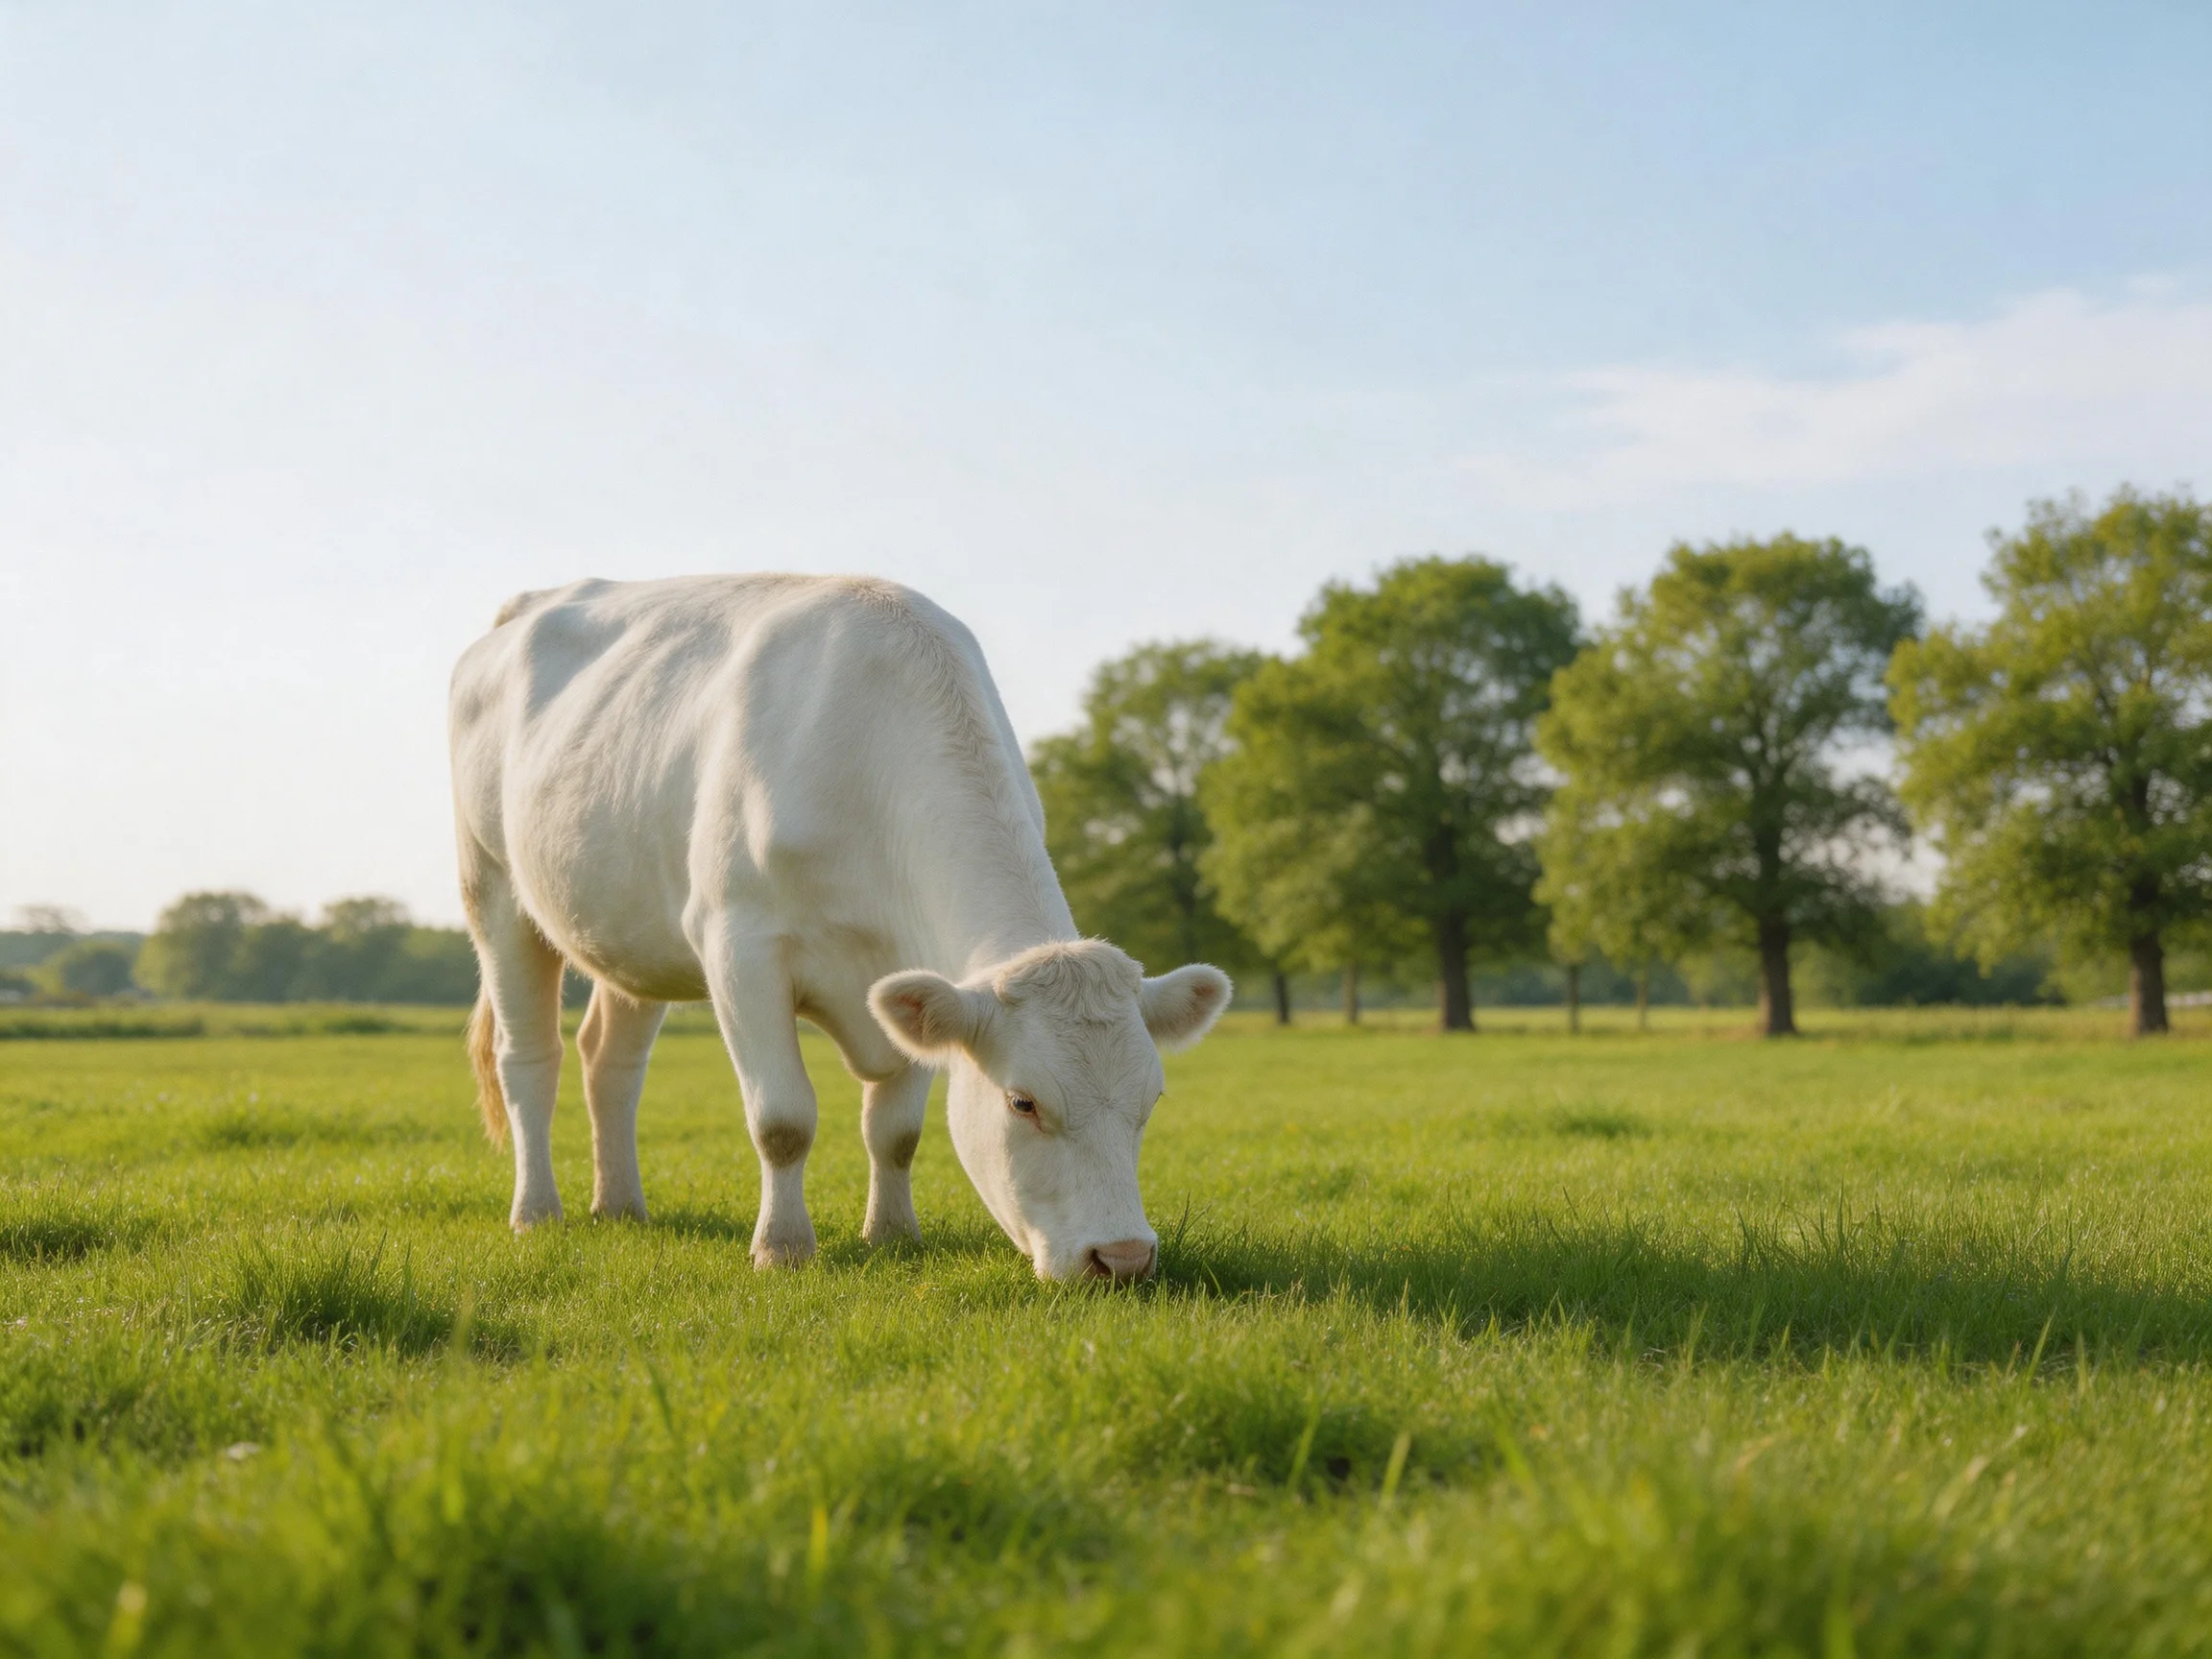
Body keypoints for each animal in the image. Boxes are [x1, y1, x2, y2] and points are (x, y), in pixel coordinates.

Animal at [448, 574, 1232, 1282]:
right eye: (1023, 1102)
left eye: (1151, 1100)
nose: (1123, 1258)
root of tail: (525, 605)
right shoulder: (739, 948)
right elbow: (783, 1120)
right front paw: (783, 1249)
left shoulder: (915, 974)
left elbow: (897, 1132)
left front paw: (892, 1235)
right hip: (494, 891)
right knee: (529, 1059)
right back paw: (536, 1211)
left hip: (630, 929)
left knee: (609, 1060)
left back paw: (619, 1206)